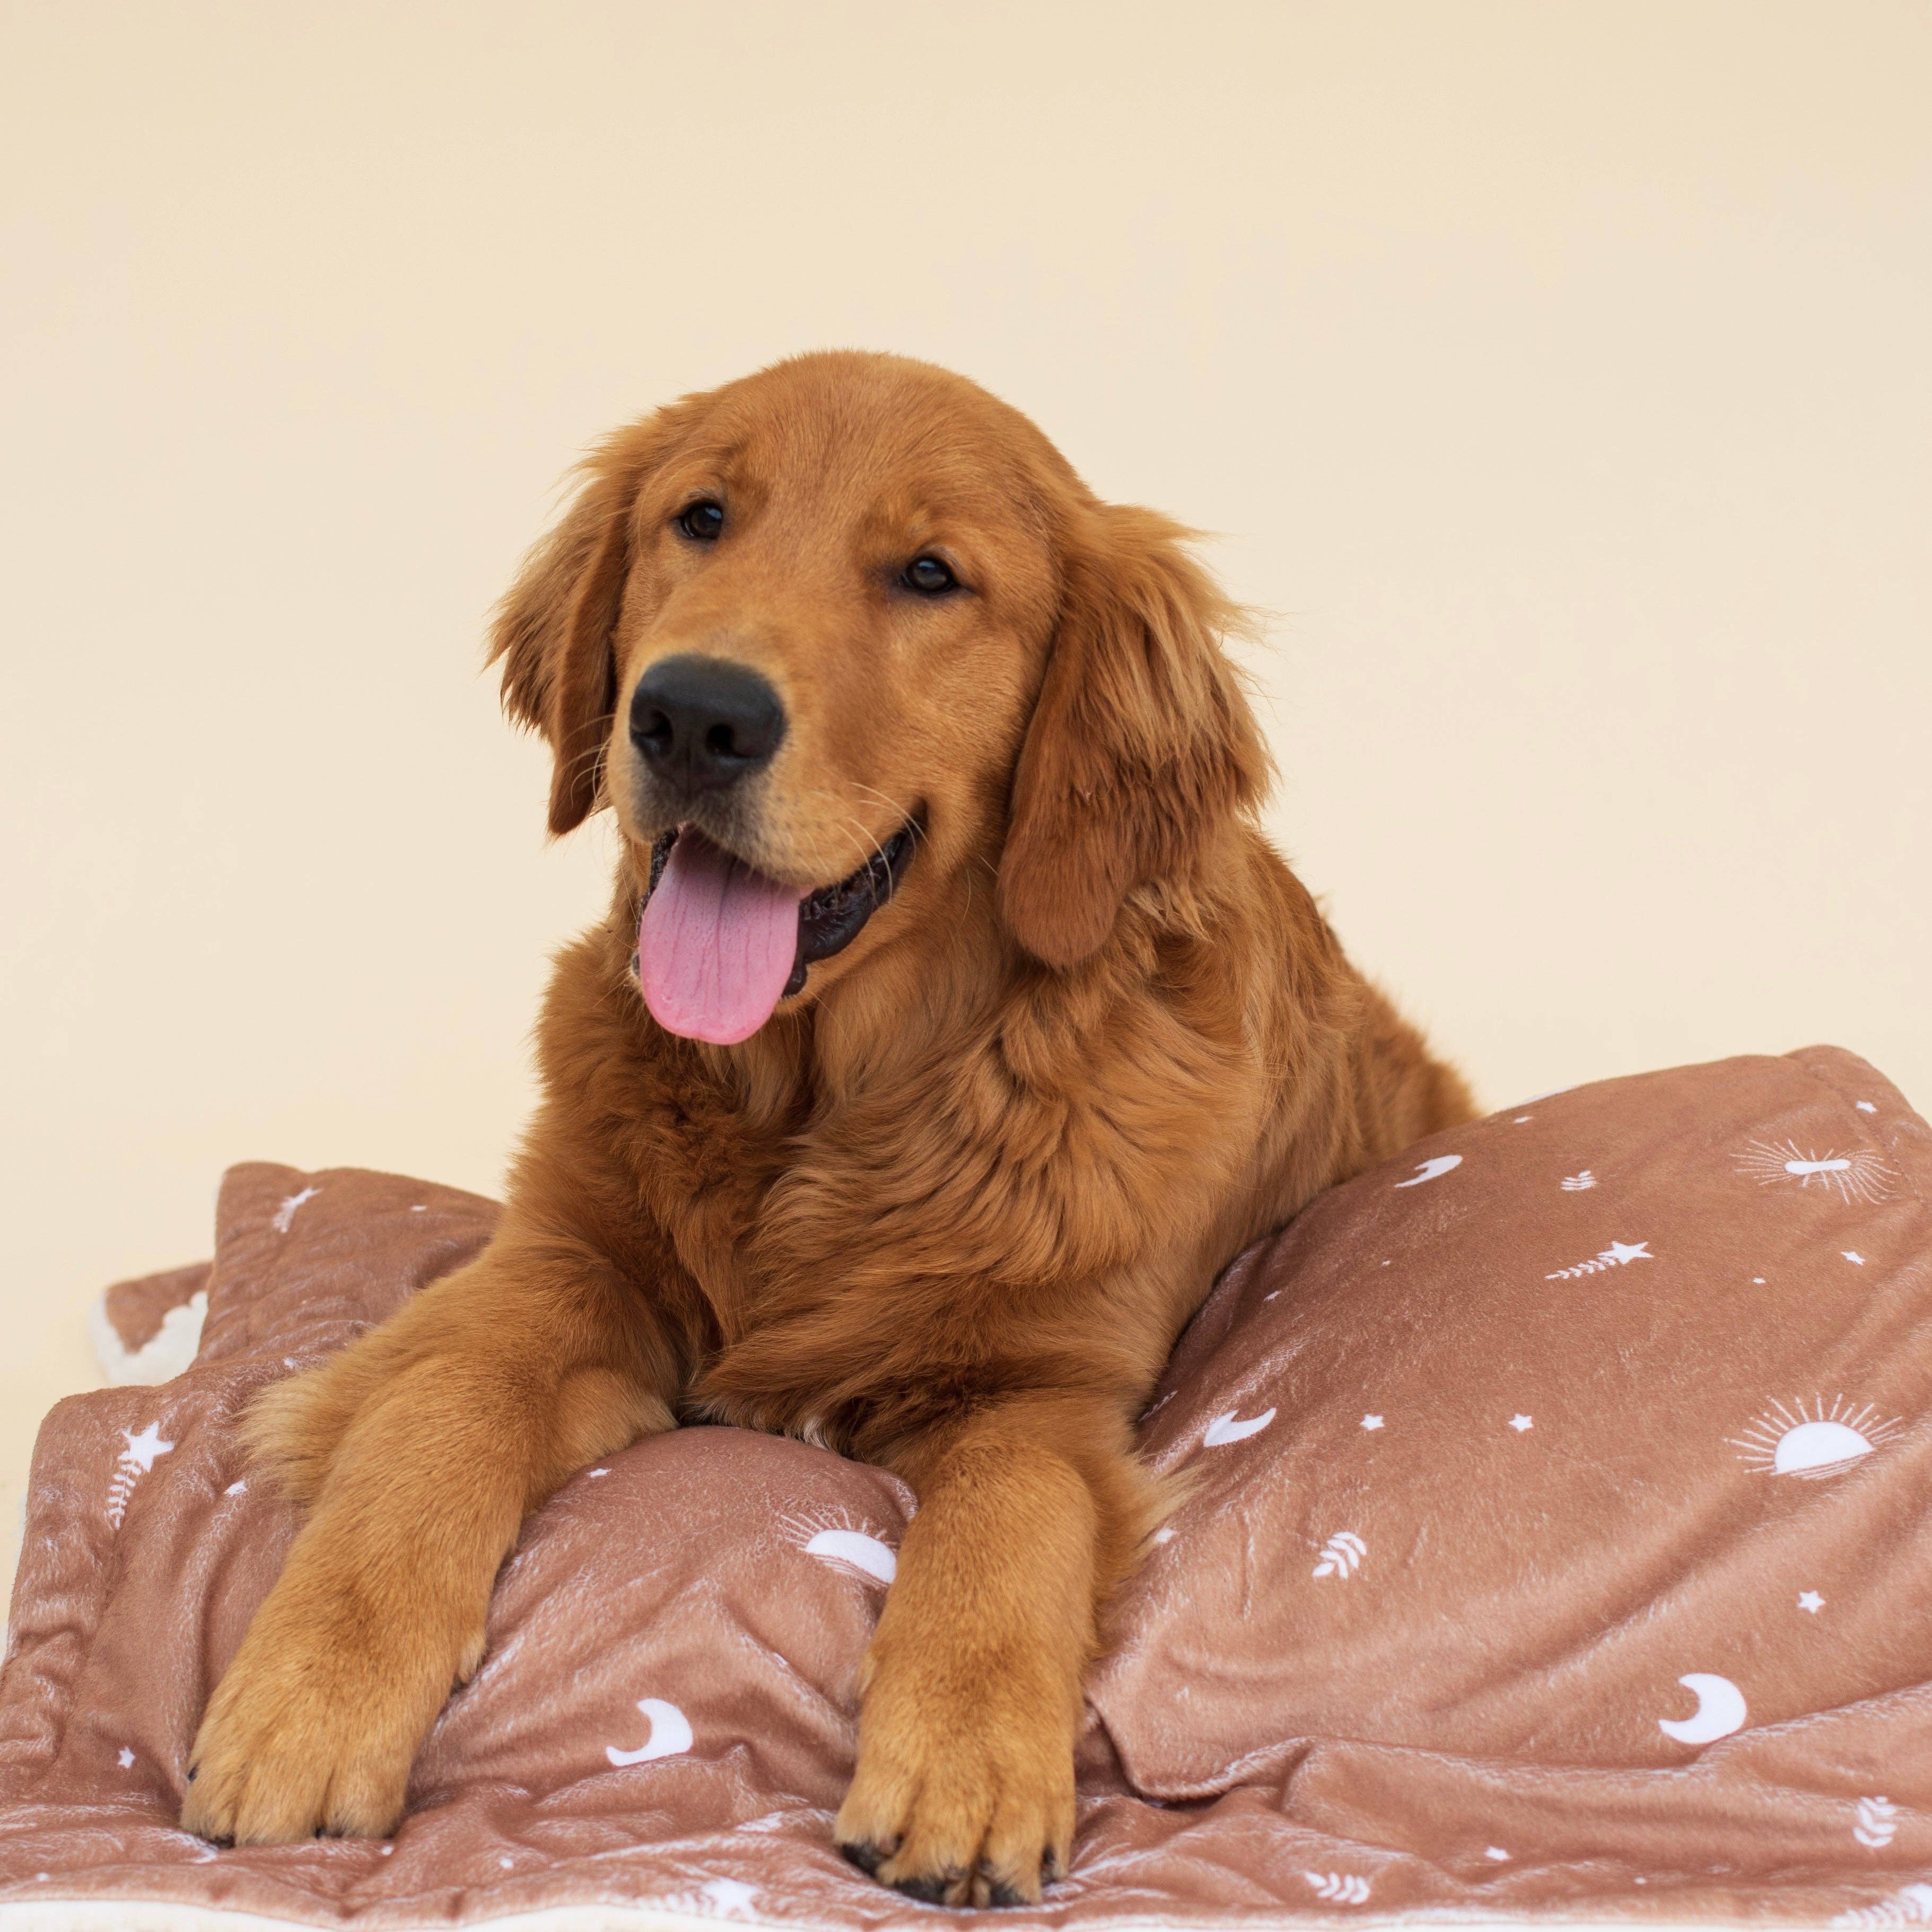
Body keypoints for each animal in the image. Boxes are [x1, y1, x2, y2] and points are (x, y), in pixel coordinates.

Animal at [184, 347, 1476, 1901]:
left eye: (929, 575)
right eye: (700, 517)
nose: (693, 714)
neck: (817, 1107)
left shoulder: (1044, 1384)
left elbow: (1008, 1514)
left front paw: (964, 1768)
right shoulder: (562, 1264)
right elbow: (435, 1405)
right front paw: (308, 1701)